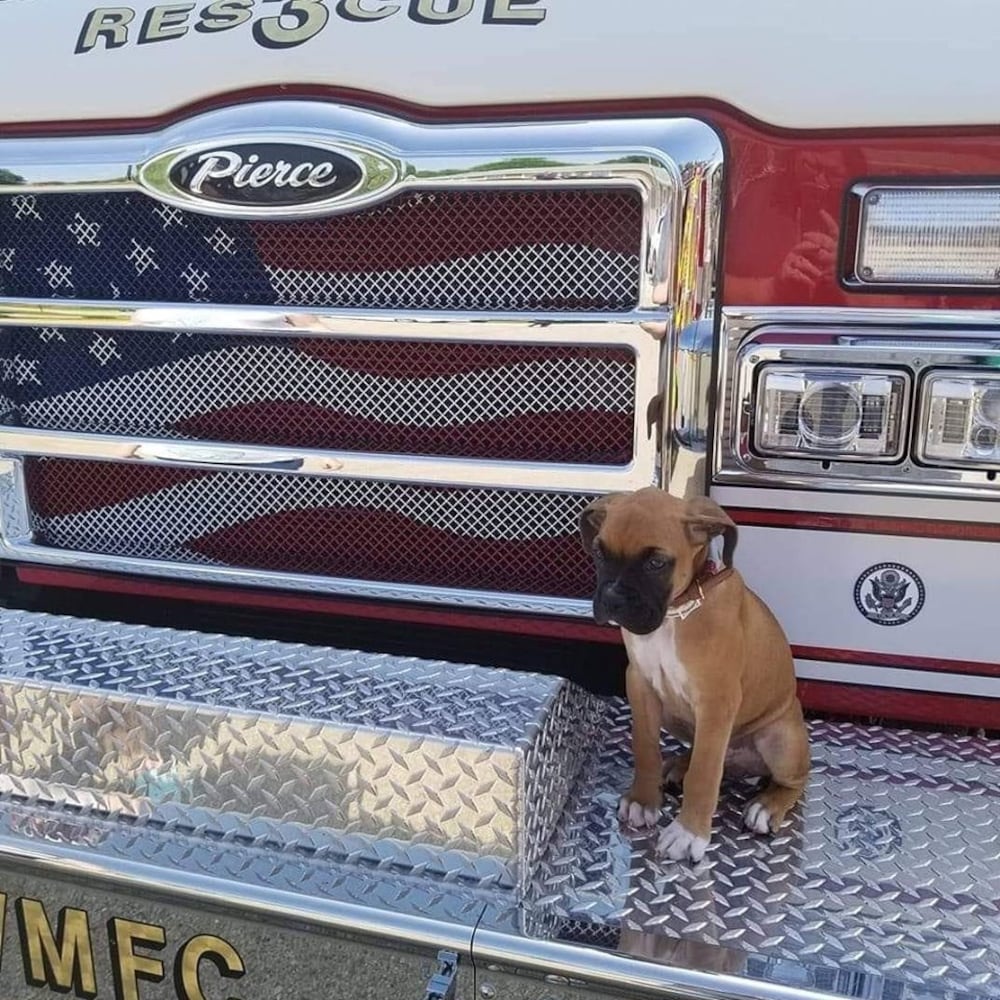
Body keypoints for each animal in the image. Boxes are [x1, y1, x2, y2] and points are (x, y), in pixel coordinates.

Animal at [584, 488, 808, 864]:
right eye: (600, 552)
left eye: (656, 563)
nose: (612, 599)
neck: (678, 611)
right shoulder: (640, 685)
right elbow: (645, 747)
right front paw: (644, 800)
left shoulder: (716, 701)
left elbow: (704, 775)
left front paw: (689, 833)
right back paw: (677, 766)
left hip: (781, 740)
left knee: (796, 780)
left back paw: (767, 805)